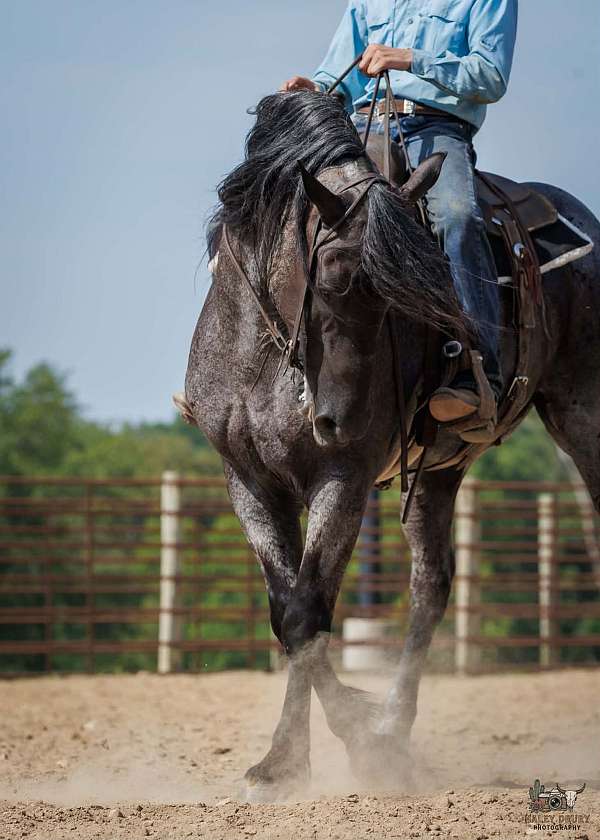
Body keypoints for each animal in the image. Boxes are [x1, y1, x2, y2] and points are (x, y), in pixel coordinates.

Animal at [180, 90, 600, 801]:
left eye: (409, 292)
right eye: (334, 277)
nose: (337, 419)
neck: (263, 354)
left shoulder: (343, 478)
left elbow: (309, 612)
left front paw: (301, 756)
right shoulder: (248, 480)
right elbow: (289, 615)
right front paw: (338, 742)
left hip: (585, 417)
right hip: (439, 467)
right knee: (431, 585)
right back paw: (396, 729)